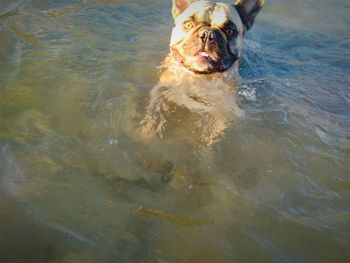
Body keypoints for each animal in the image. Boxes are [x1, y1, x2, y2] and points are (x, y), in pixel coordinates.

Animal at [139, 0, 266, 148]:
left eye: (230, 31)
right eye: (188, 25)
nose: (207, 34)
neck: (200, 76)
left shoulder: (226, 110)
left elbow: (216, 133)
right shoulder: (162, 90)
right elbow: (155, 110)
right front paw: (150, 131)